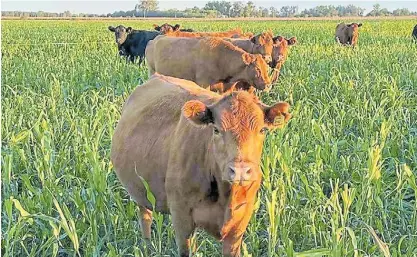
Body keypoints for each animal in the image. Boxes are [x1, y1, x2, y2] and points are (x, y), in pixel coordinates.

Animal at [110, 72, 290, 256]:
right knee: (145, 216)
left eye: (262, 130)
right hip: (140, 190)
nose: (240, 171)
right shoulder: (181, 217)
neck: (225, 195)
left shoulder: (239, 224)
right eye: (216, 129)